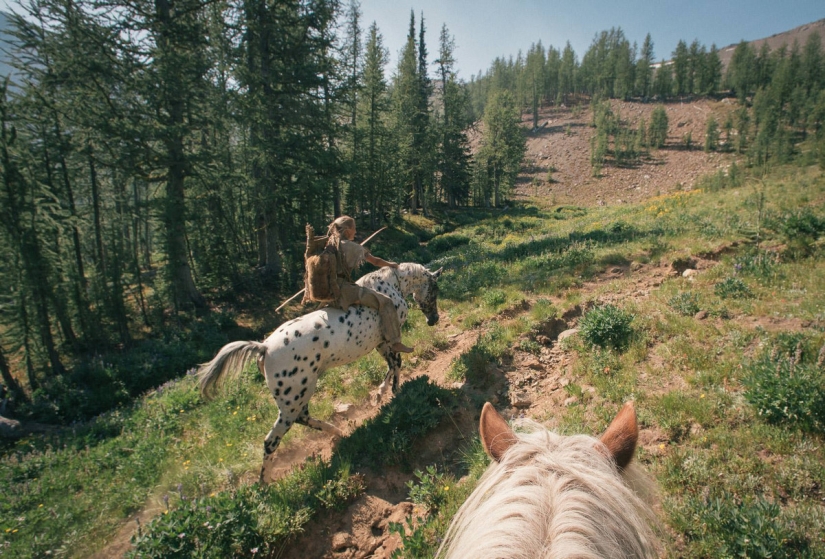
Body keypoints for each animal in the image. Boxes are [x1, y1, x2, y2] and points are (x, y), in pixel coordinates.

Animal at [197, 264, 440, 484]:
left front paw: (383, 394)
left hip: (300, 394)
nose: (434, 320)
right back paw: (264, 485)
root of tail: (263, 347)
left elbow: (392, 365)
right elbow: (396, 363)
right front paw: (390, 392)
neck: (392, 285)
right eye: (434, 289)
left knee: (302, 418)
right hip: (294, 399)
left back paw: (336, 431)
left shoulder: (380, 343)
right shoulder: (387, 340)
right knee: (271, 440)